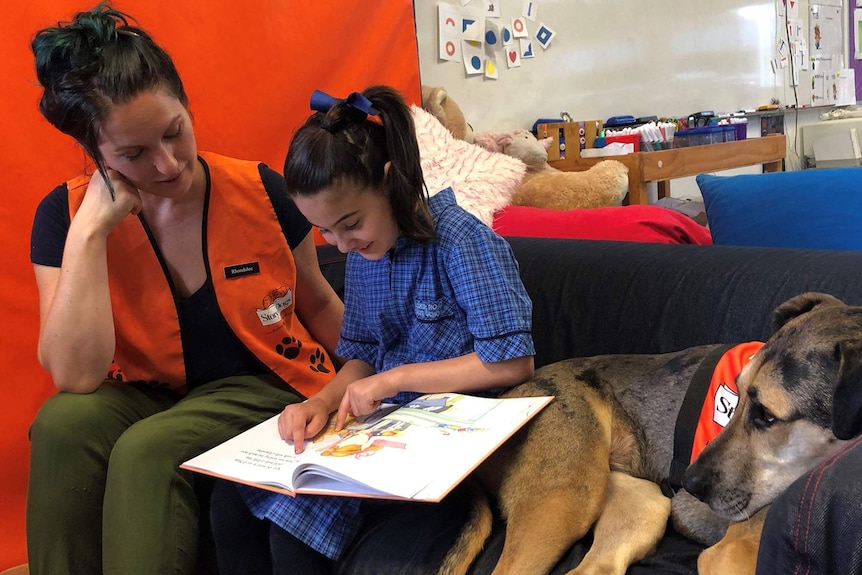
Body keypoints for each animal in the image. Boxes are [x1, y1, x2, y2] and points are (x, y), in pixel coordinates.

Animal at [442, 294, 852, 572]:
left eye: (766, 415)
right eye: (738, 395)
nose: (690, 483)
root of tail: (503, 399)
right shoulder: (729, 554)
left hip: (643, 504)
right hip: (566, 499)